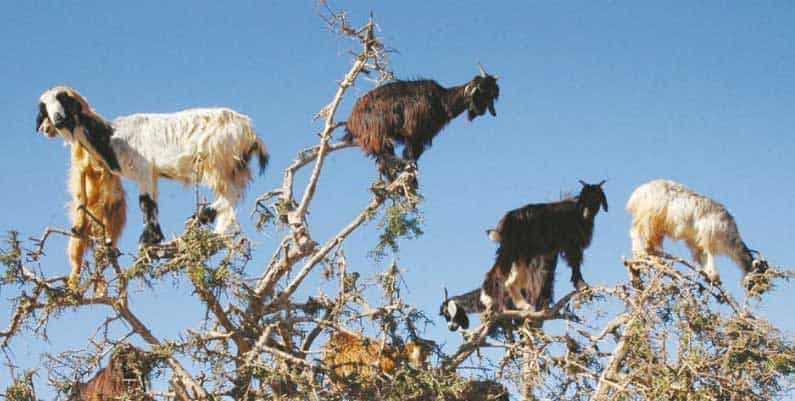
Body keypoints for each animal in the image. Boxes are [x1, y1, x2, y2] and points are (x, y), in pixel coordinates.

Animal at [37, 86, 269, 245]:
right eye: (45, 109)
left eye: (64, 101)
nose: (58, 120)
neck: (111, 136)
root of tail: (250, 133)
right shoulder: (153, 175)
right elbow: (152, 203)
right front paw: (154, 238)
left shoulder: (143, 171)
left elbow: (145, 204)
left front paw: (148, 241)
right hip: (235, 168)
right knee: (233, 196)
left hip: (218, 162)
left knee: (230, 194)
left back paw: (203, 220)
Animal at [344, 65, 499, 178]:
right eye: (481, 92)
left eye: (493, 96)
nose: (482, 111)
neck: (443, 101)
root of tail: (352, 119)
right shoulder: (413, 131)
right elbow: (410, 153)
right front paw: (410, 167)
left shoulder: (424, 136)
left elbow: (414, 153)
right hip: (377, 132)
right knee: (382, 153)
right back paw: (399, 167)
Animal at [626, 179, 768, 284]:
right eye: (758, 273)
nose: (756, 290)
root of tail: (638, 192)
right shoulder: (709, 235)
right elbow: (709, 253)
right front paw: (714, 276)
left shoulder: (695, 241)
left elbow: (701, 256)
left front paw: (708, 275)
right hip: (648, 216)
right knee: (635, 231)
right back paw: (640, 254)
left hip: (655, 225)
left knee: (650, 241)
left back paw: (655, 259)